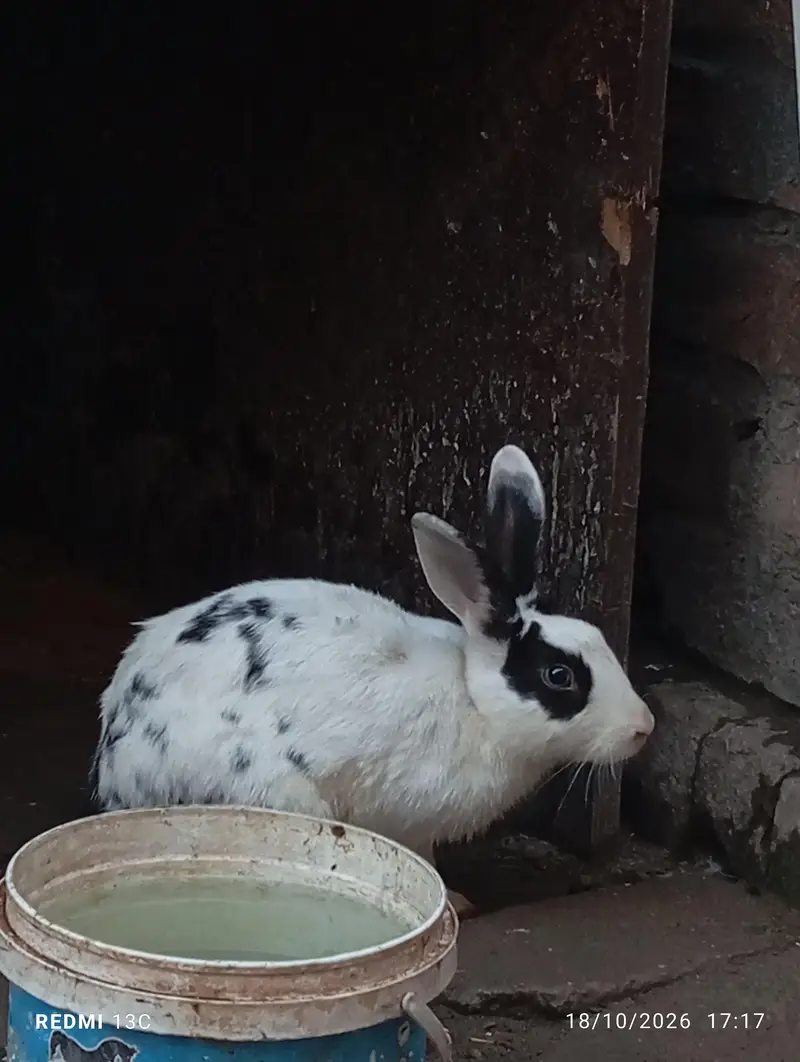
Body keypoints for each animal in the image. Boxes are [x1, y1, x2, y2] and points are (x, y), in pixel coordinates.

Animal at [90, 444, 654, 918]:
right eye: (559, 676)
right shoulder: (407, 819)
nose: (643, 727)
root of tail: (116, 763)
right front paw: (459, 904)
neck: (475, 700)